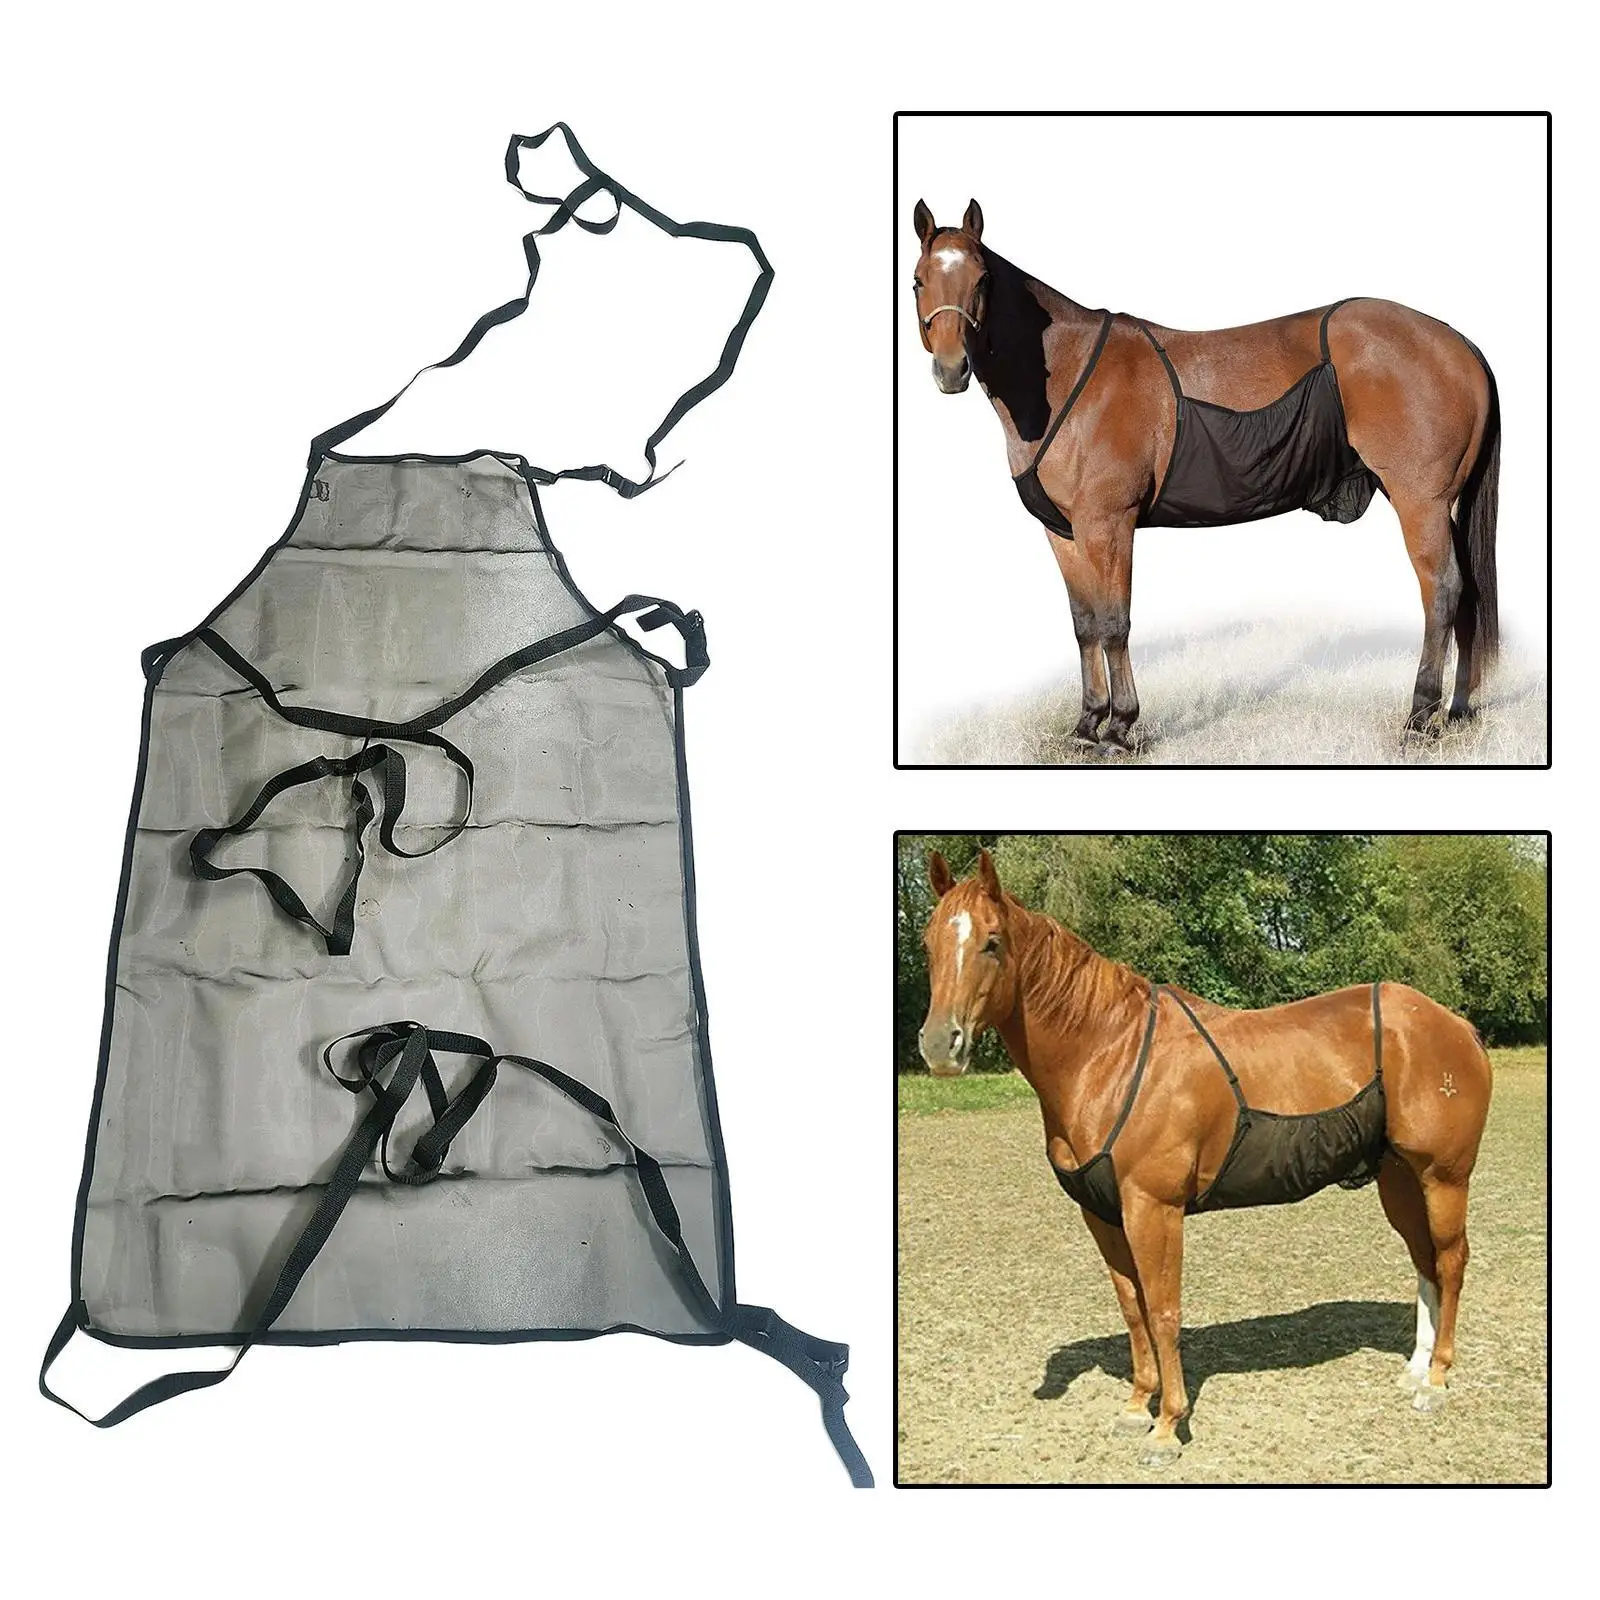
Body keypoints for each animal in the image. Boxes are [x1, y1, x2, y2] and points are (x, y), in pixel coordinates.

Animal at [910, 199, 1501, 753]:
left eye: (982, 280)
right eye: (917, 280)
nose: (952, 369)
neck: (1067, 376)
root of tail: (1458, 343)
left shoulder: (1109, 525)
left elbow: (1114, 622)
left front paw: (1120, 728)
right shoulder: (1064, 532)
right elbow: (1084, 624)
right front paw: (1086, 724)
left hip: (1421, 503)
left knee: (1443, 591)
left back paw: (1420, 717)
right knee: (1468, 592)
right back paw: (1458, 711)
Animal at [918, 848, 1493, 1468]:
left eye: (992, 942)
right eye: (927, 943)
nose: (940, 1046)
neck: (1109, 1054)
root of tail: (1457, 1025)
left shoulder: (1154, 1208)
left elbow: (1164, 1310)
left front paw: (1168, 1426)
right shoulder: (1103, 1214)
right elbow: (1132, 1307)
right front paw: (1135, 1407)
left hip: (1443, 1177)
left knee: (1451, 1261)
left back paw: (1437, 1381)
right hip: (1400, 1180)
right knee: (1425, 1262)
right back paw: (1416, 1370)